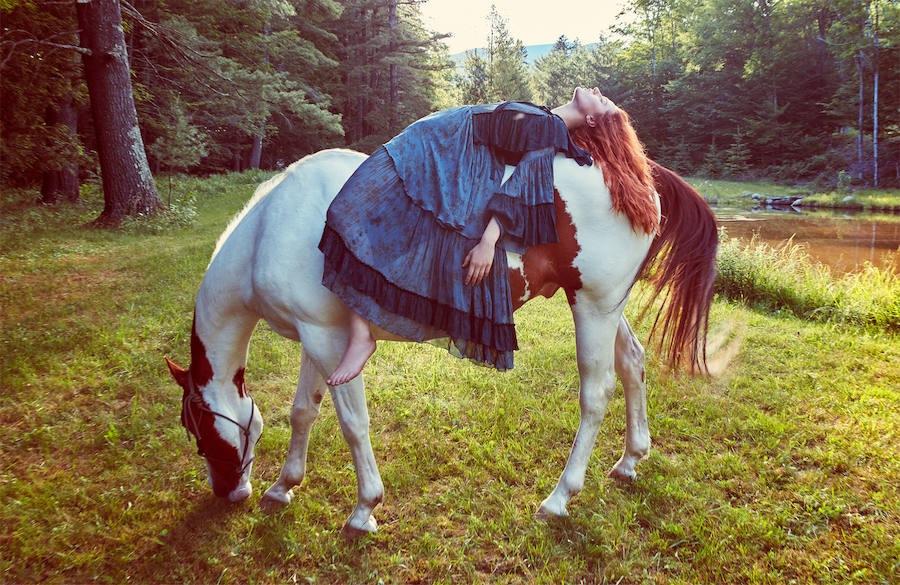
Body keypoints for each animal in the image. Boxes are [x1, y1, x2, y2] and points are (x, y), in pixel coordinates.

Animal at [163, 149, 716, 532]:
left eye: (196, 430)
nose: (227, 492)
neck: (272, 227)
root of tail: (637, 173)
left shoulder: (326, 341)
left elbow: (352, 425)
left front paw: (364, 509)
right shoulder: (315, 338)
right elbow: (303, 411)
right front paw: (283, 487)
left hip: (593, 308)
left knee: (596, 394)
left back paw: (560, 496)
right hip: (604, 307)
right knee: (632, 364)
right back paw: (631, 459)